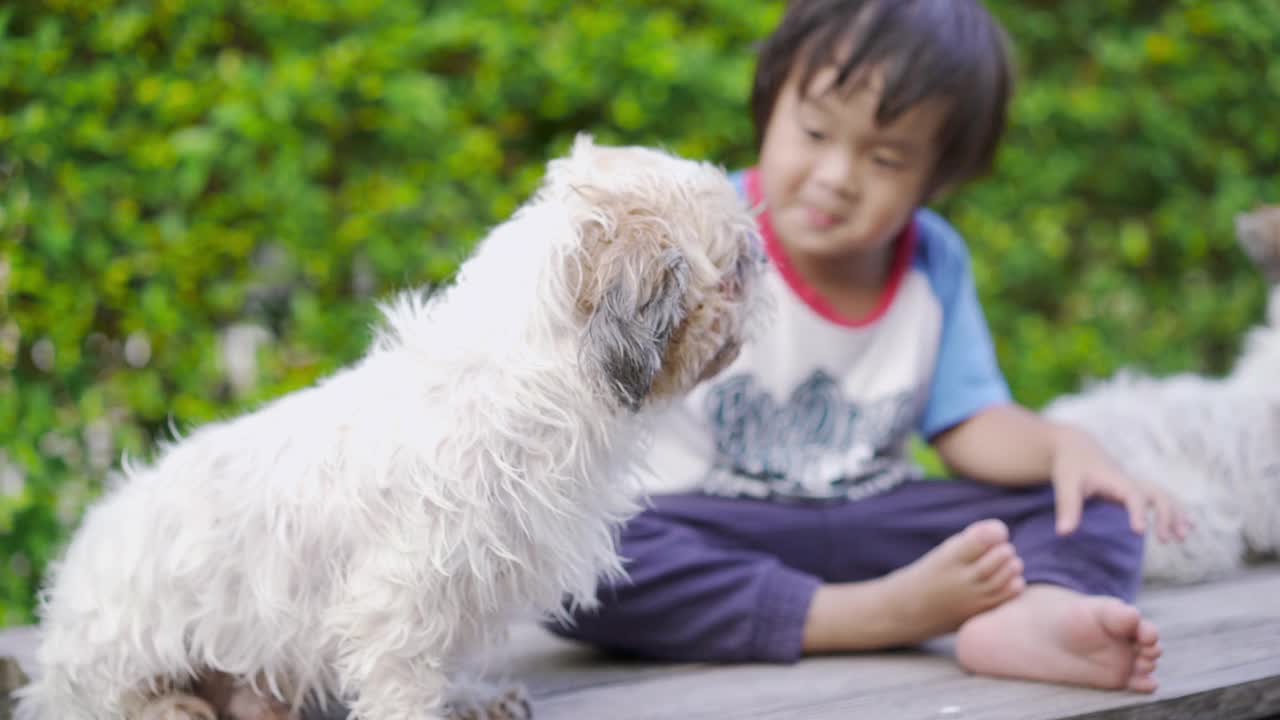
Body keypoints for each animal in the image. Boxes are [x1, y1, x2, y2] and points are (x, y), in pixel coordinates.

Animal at [15, 134, 762, 717]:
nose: (757, 276)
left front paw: (467, 698)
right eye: (731, 272)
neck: (531, 378)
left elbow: (443, 662)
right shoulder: (400, 593)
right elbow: (403, 677)